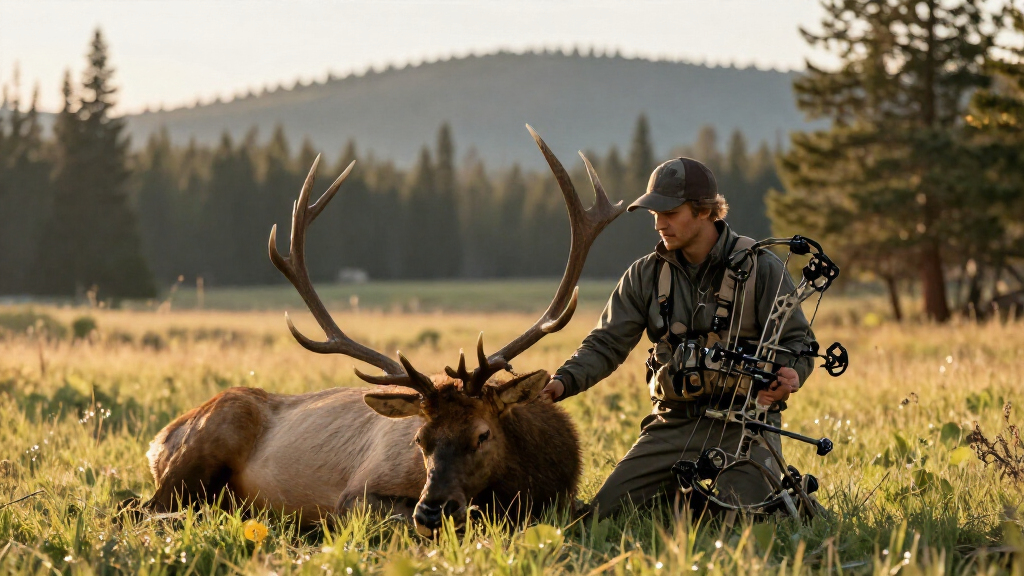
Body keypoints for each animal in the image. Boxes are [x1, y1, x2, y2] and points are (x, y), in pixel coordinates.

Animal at [143, 126, 625, 537]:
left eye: (483, 434)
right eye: (418, 439)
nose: (431, 511)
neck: (536, 479)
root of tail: (158, 439)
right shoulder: (355, 496)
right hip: (205, 444)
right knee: (142, 506)